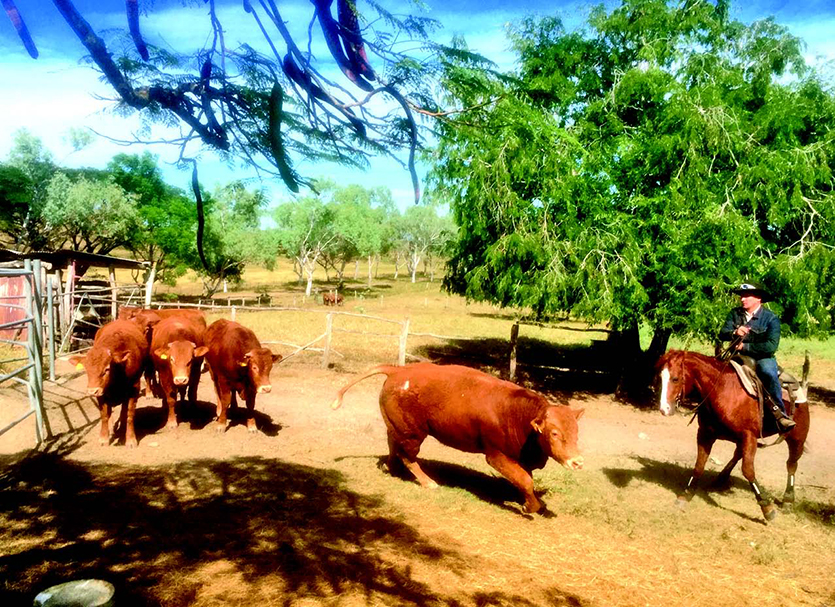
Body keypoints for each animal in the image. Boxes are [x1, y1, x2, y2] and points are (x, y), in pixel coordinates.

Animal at [69, 319, 149, 448]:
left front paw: (131, 439)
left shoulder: (134, 389)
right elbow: (105, 415)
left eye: (107, 369)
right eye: (86, 369)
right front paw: (104, 438)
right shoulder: (101, 393)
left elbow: (129, 414)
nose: (92, 391)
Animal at [330, 362, 584, 514]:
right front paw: (530, 507)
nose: (577, 462)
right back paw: (427, 482)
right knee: (407, 455)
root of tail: (399, 370)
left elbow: (525, 479)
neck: (517, 413)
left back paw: (391, 468)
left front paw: (528, 502)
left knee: (393, 444)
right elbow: (525, 480)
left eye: (577, 431)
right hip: (413, 434)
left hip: (399, 427)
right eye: (554, 433)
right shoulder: (495, 454)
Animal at [655, 349, 810, 522]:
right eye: (660, 377)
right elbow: (699, 465)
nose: (664, 409)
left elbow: (748, 470)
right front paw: (685, 495)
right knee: (738, 454)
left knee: (791, 464)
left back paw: (788, 498)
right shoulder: (705, 434)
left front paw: (767, 508)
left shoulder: (749, 436)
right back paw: (721, 479)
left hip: (797, 438)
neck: (722, 390)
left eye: (675, 378)